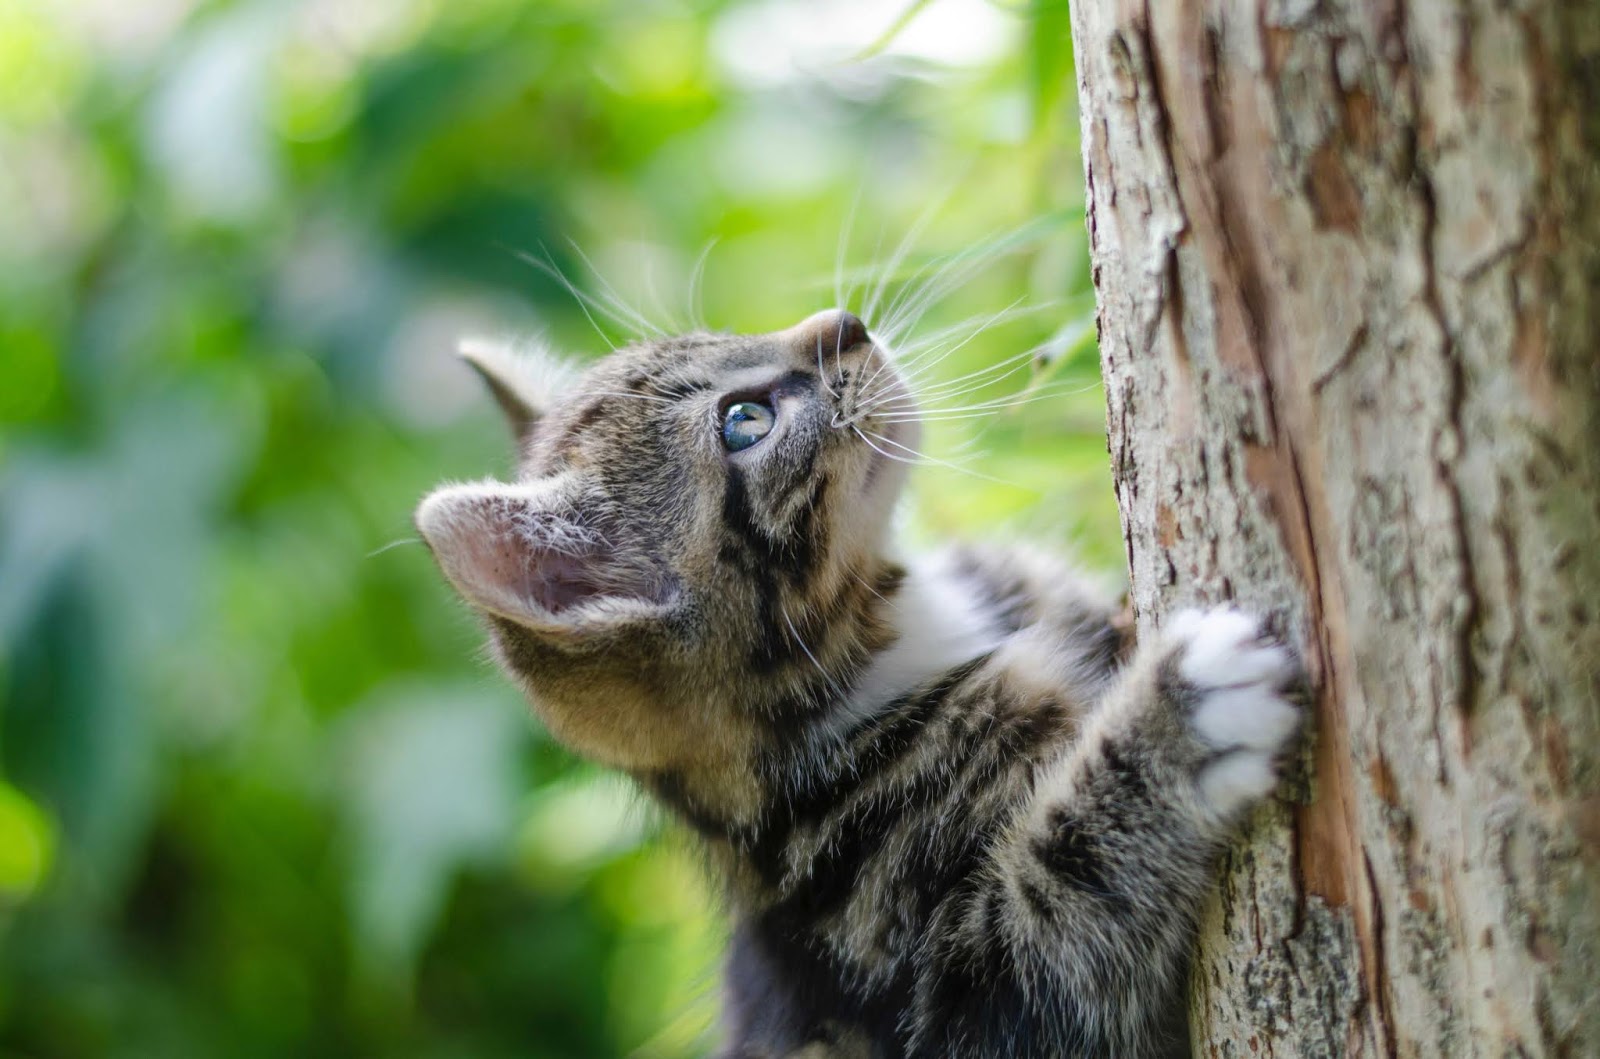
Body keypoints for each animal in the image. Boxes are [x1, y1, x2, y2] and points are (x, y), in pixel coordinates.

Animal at [419, 308, 1305, 1059]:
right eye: (745, 421)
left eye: (724, 333)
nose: (844, 323)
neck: (906, 630)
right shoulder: (947, 994)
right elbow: (1062, 906)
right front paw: (1181, 716)